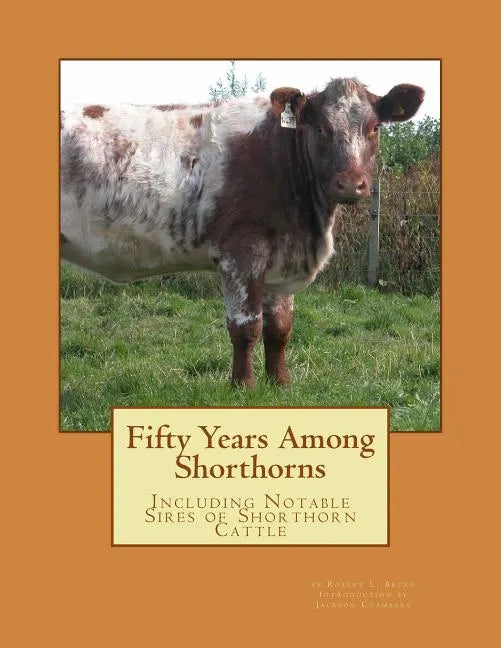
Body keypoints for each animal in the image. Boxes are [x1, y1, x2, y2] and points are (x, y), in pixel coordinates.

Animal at [60, 77, 424, 387]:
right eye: (321, 128)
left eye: (374, 128)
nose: (350, 184)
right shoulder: (241, 253)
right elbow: (246, 326)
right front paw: (243, 386)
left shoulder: (282, 257)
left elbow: (279, 328)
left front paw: (280, 383)